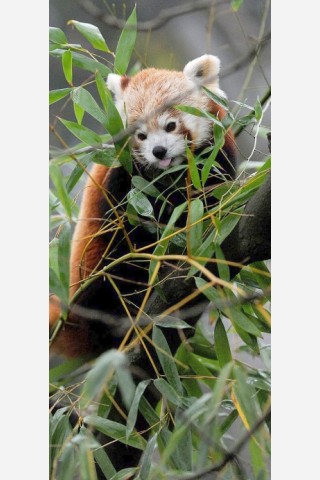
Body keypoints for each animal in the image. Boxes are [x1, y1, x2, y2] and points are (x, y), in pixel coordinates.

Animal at [48, 54, 236, 358]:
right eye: (141, 135)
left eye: (171, 125)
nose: (159, 151)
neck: (170, 175)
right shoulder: (123, 181)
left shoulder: (215, 159)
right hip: (94, 274)